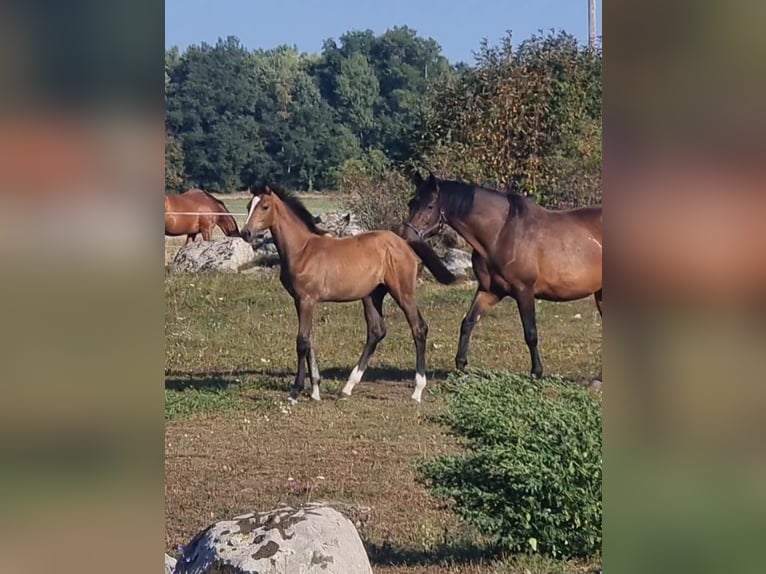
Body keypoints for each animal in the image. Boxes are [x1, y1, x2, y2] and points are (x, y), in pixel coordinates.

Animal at [240, 184, 456, 404]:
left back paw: (417, 391)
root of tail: (405, 242)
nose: (246, 233)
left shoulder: (306, 300)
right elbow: (310, 340)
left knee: (419, 328)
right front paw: (315, 391)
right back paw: (348, 387)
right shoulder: (300, 301)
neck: (303, 250)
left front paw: (295, 392)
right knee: (376, 331)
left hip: (403, 292)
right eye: (248, 206)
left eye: (264, 207)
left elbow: (302, 342)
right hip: (372, 295)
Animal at [404, 173, 604, 384]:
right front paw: (461, 365)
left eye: (430, 206)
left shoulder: (524, 290)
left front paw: (536, 372)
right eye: (412, 202)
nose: (407, 236)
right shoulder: (491, 291)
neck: (502, 233)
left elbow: (530, 333)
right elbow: (468, 322)